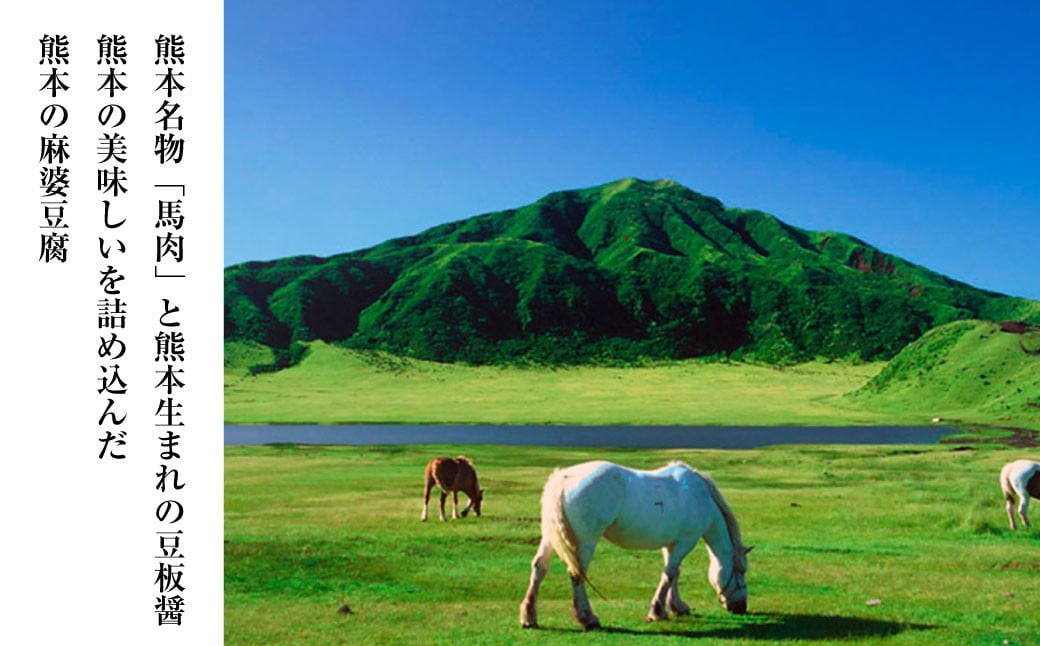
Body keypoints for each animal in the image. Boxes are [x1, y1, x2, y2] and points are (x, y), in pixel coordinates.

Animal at [517, 457, 748, 628]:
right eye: (741, 571)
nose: (741, 608)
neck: (700, 497)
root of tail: (563, 479)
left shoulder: (671, 544)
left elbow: (673, 574)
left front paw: (676, 607)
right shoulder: (685, 541)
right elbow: (670, 574)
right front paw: (657, 611)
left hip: (549, 539)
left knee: (539, 568)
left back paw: (529, 617)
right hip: (585, 542)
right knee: (577, 574)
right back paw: (588, 618)